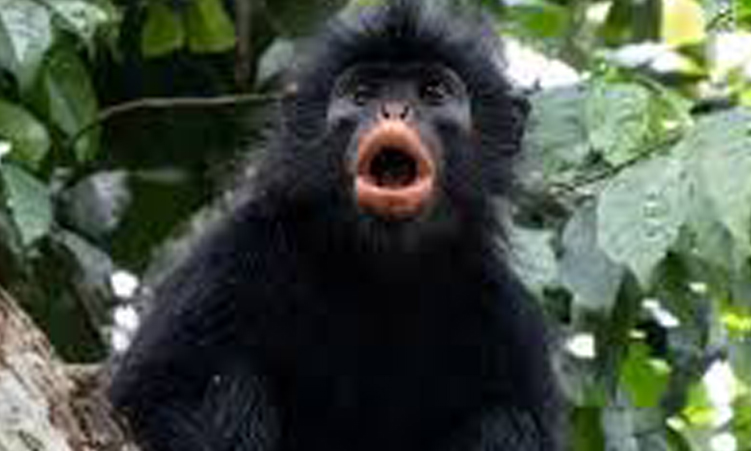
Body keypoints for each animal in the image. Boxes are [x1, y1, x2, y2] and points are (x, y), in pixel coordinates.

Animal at [109, 2, 564, 451]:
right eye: (362, 95)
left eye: (433, 93)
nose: (394, 110)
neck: (379, 269)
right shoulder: (233, 253)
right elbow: (147, 396)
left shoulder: (506, 312)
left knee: (504, 422)